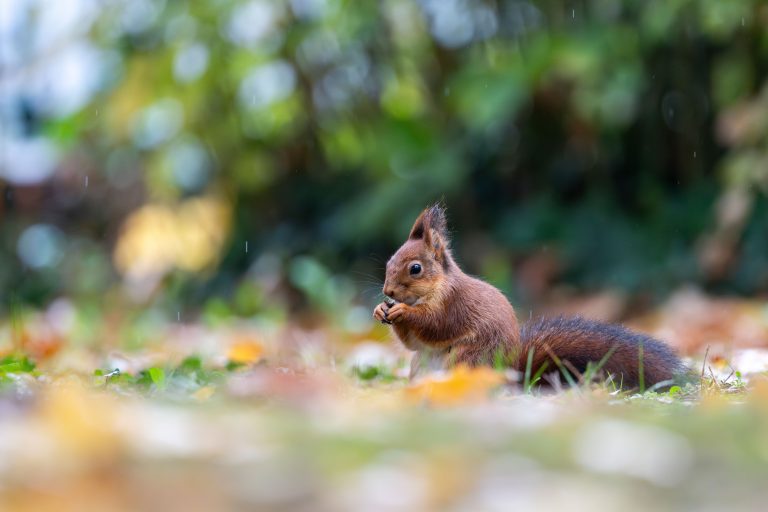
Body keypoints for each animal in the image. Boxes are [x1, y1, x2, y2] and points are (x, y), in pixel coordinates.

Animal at [372, 204, 685, 389]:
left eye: (415, 269)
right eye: (389, 261)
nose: (388, 292)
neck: (436, 287)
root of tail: (512, 374)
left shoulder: (454, 304)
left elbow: (435, 325)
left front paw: (403, 312)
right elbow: (413, 343)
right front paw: (379, 310)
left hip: (467, 359)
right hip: (421, 365)